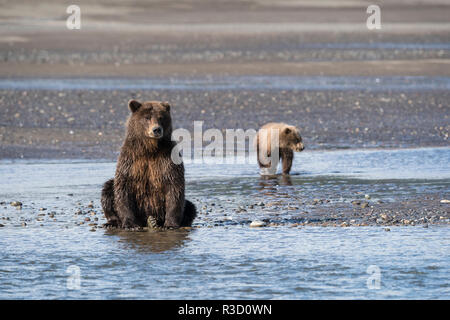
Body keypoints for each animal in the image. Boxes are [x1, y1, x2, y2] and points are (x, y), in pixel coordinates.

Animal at [102, 100, 197, 230]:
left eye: (161, 117)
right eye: (147, 117)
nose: (156, 129)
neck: (150, 148)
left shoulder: (167, 159)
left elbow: (174, 187)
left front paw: (170, 224)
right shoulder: (130, 160)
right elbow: (123, 188)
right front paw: (130, 224)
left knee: (190, 207)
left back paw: (154, 222)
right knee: (108, 190)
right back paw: (113, 222)